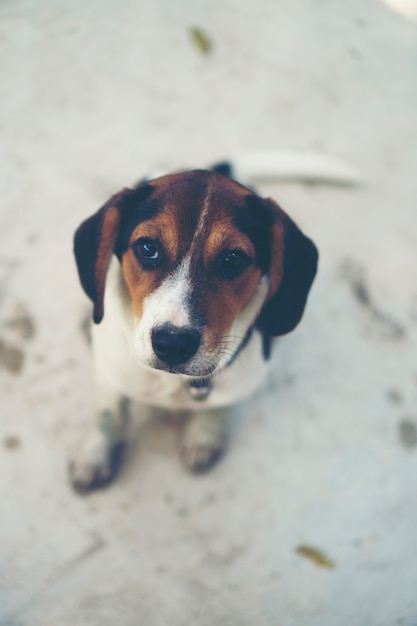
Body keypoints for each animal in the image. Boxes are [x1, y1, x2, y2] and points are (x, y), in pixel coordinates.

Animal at [69, 162, 316, 492]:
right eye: (147, 247)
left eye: (234, 258)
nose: (173, 344)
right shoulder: (111, 377)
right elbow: (108, 417)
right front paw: (94, 457)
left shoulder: (239, 383)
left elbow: (217, 408)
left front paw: (203, 437)